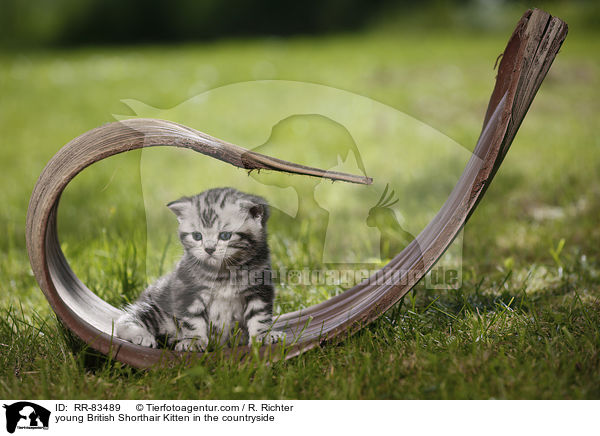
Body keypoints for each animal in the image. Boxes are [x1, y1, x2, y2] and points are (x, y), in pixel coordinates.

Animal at [115, 187, 284, 350]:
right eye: (197, 236)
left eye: (225, 236)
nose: (209, 249)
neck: (223, 274)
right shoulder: (187, 291)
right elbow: (193, 321)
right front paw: (194, 341)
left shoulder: (259, 287)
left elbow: (259, 315)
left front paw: (263, 335)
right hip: (160, 311)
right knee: (125, 319)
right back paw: (142, 336)